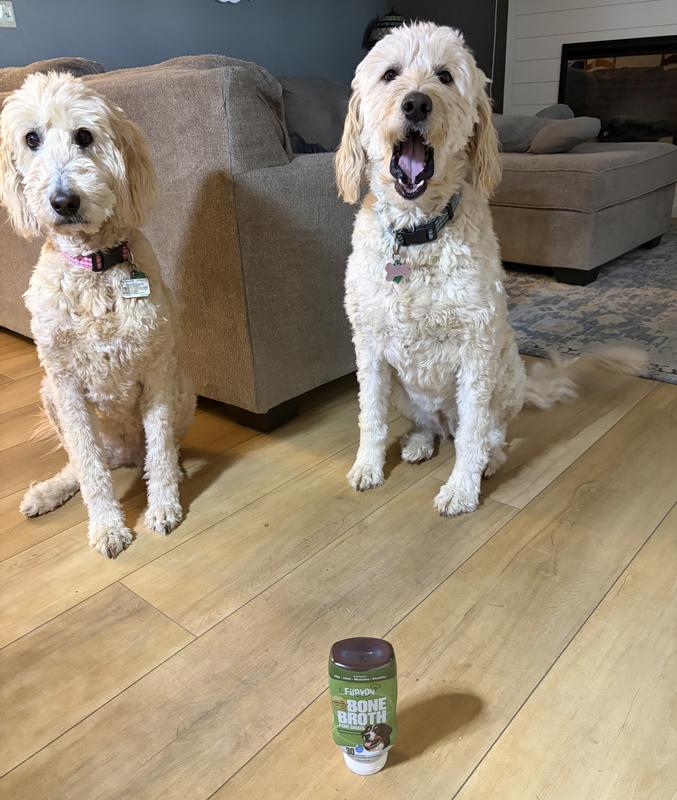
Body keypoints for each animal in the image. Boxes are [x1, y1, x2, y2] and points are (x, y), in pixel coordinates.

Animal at [0, 72, 196, 557]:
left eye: (84, 136)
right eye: (31, 139)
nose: (64, 201)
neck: (94, 267)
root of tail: (123, 456)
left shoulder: (157, 371)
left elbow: (160, 447)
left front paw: (163, 506)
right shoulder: (67, 387)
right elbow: (89, 469)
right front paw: (107, 527)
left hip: (183, 385)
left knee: (157, 451)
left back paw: (173, 470)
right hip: (49, 394)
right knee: (83, 460)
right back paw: (48, 491)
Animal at [335, 23, 642, 516]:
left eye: (444, 76)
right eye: (390, 74)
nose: (416, 103)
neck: (418, 233)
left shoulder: (477, 349)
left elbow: (474, 434)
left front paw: (462, 490)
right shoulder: (370, 349)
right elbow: (371, 416)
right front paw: (368, 466)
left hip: (504, 378)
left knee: (485, 434)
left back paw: (488, 463)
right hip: (406, 390)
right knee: (431, 424)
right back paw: (420, 442)